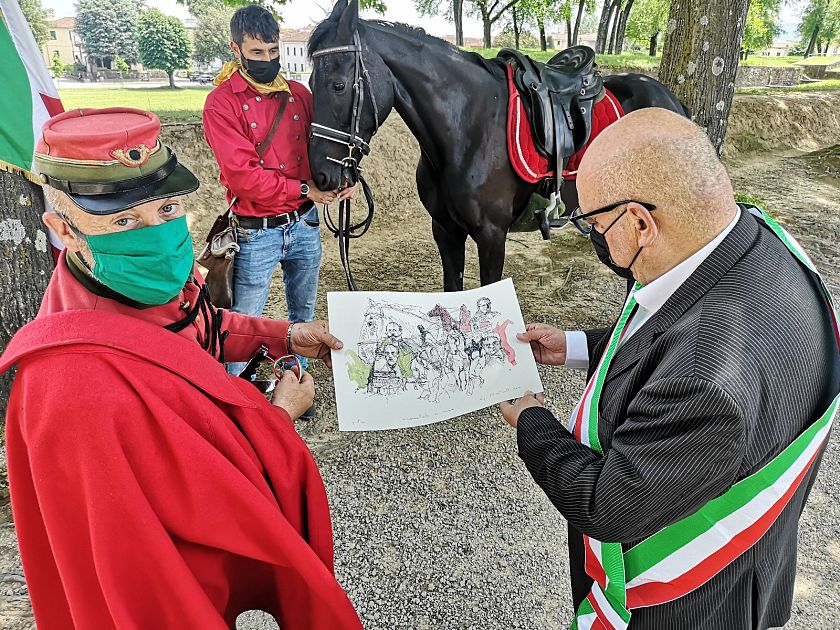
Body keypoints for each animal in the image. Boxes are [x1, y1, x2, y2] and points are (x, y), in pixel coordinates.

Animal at [306, 0, 684, 292]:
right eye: (309, 81)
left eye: (338, 85)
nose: (320, 175)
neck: (466, 129)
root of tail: (670, 100)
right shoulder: (446, 231)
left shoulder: (491, 236)